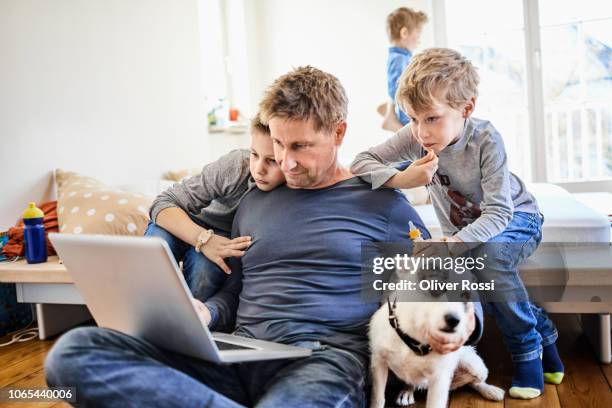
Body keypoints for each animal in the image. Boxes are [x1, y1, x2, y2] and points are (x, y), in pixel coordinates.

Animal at [370, 298, 504, 406]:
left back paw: (490, 390)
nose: (453, 320)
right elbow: (378, 398)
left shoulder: (439, 378)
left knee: (475, 381)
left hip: (476, 368)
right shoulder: (378, 363)